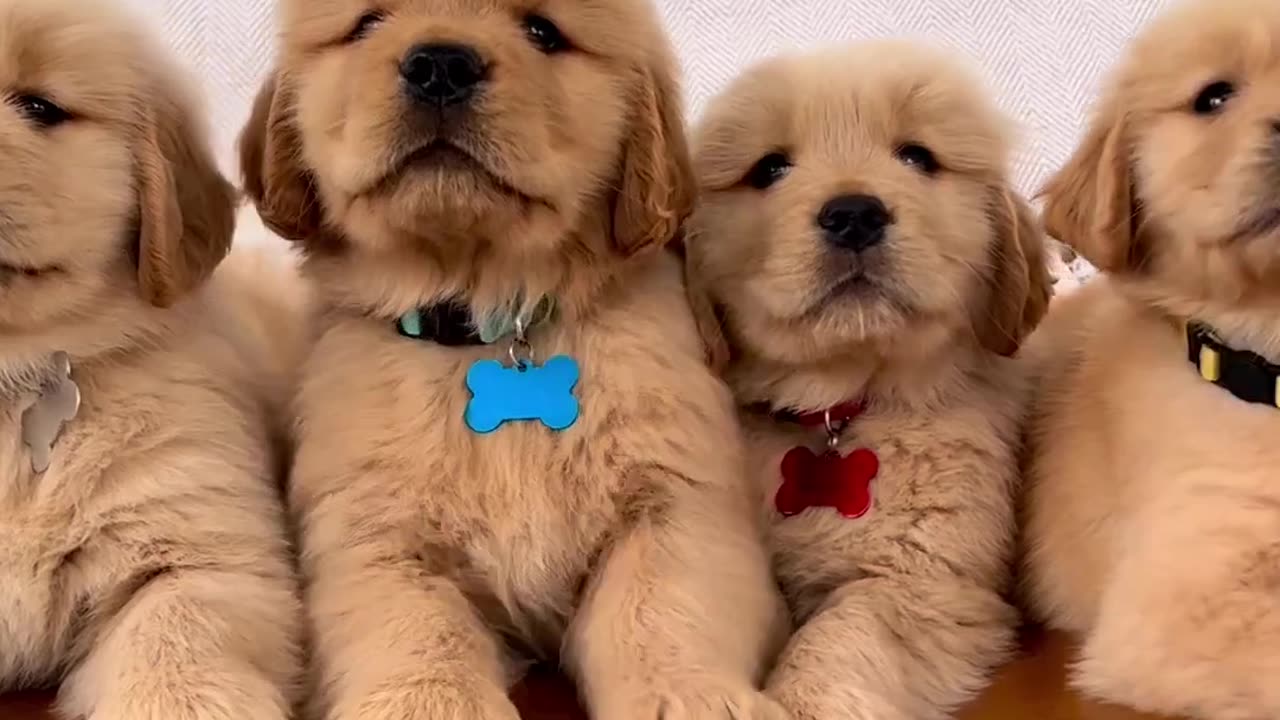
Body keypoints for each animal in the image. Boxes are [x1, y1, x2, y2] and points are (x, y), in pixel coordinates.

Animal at [235, 1, 783, 717]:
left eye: (543, 32)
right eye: (367, 24)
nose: (440, 65)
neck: (492, 315)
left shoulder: (675, 505)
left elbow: (661, 612)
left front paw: (689, 696)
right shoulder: (373, 538)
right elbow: (420, 636)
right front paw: (432, 703)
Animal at [680, 41, 1049, 717]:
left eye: (917, 157)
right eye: (769, 169)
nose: (854, 215)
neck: (837, 408)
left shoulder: (916, 582)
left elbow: (835, 639)